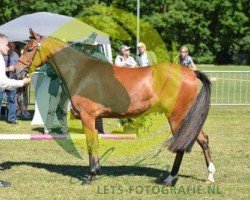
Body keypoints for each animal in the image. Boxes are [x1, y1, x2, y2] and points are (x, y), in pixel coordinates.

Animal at [15, 29, 215, 186]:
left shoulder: (88, 117)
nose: (16, 72)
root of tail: (190, 72)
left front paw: (89, 176)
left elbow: (90, 144)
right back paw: (210, 175)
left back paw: (170, 178)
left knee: (183, 145)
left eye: (30, 49)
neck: (81, 72)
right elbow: (95, 143)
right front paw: (96, 171)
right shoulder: (94, 119)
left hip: (177, 117)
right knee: (203, 139)